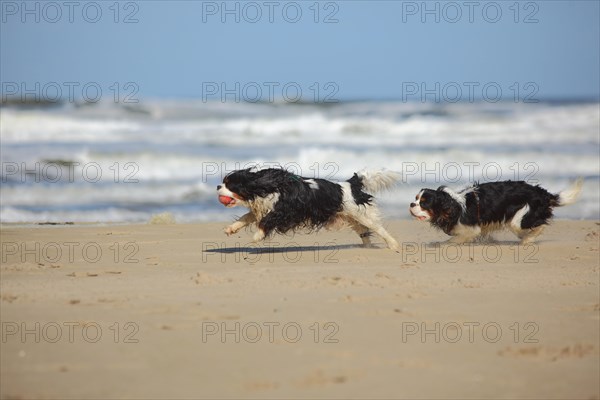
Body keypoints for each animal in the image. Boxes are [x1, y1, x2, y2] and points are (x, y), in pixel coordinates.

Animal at [218, 166, 400, 248]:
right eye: (223, 182)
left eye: (230, 185)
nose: (218, 186)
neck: (265, 187)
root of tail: (350, 185)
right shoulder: (263, 208)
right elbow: (246, 218)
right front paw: (231, 229)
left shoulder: (284, 210)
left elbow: (266, 221)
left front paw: (257, 236)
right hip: (352, 216)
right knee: (364, 231)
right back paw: (367, 246)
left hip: (362, 214)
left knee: (378, 228)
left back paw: (393, 245)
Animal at [408, 179, 580, 242]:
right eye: (416, 198)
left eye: (423, 203)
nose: (411, 204)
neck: (453, 206)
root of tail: (541, 193)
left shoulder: (471, 229)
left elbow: (456, 239)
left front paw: (444, 245)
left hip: (522, 215)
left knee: (539, 225)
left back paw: (528, 239)